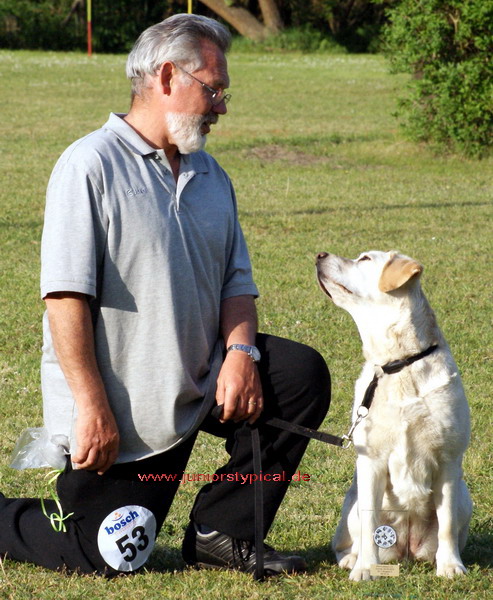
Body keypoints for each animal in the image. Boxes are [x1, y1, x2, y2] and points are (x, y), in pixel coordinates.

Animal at [318, 250, 470, 580]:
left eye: (364, 259)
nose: (320, 254)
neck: (398, 364)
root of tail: (407, 551)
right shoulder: (370, 461)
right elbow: (369, 523)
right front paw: (364, 569)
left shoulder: (449, 460)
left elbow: (447, 524)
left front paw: (451, 566)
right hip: (352, 504)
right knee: (349, 539)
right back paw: (351, 559)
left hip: (465, 498)